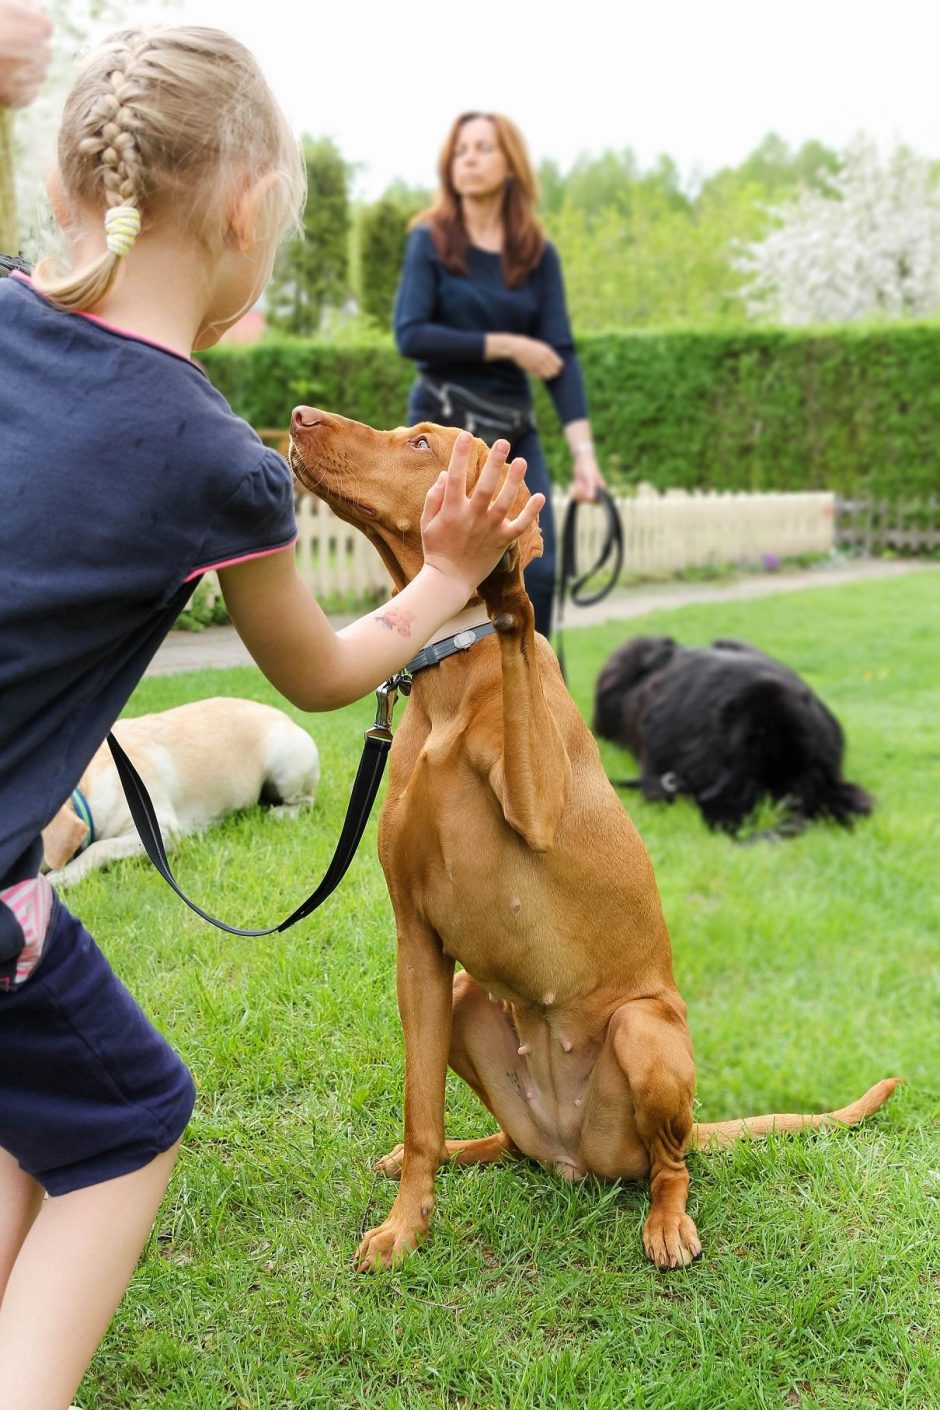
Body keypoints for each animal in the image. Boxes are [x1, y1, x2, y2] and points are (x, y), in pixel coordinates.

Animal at [41, 699, 319, 885]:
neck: (85, 790)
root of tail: (286, 716)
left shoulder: (163, 831)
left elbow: (100, 847)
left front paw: (63, 875)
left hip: (287, 764)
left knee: (306, 800)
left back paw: (282, 813)